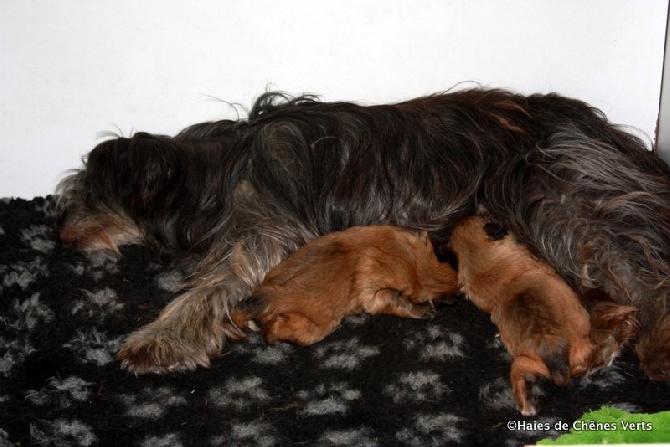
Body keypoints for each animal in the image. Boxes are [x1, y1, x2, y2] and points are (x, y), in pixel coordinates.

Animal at [230, 228, 456, 346]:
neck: (409, 259)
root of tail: (269, 297)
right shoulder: (373, 290)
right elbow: (398, 302)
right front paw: (422, 311)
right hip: (309, 328)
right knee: (275, 329)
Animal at [448, 217, 636, 416]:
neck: (489, 266)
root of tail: (552, 349)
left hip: (529, 361)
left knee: (518, 372)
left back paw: (525, 403)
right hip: (578, 348)